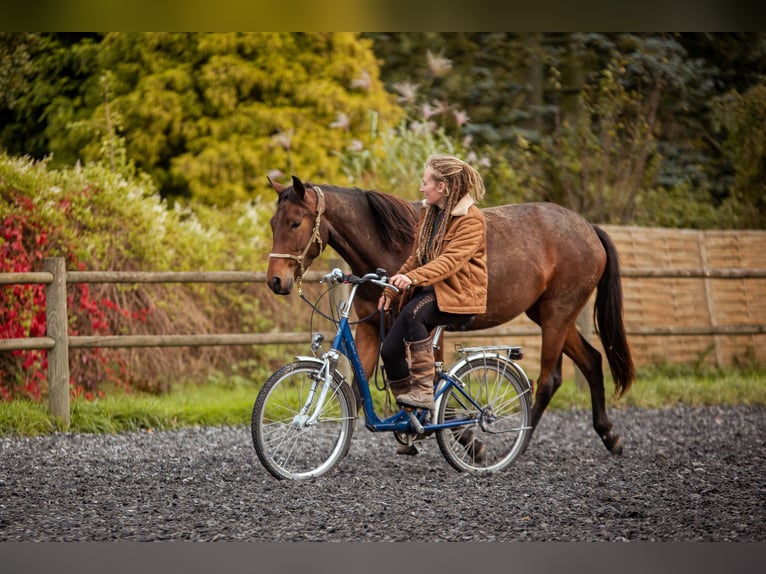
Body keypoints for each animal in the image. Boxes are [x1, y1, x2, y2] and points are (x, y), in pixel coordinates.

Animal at [268, 178, 640, 456]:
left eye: (295, 222)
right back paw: (609, 435)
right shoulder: (372, 329)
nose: (275, 281)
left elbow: (433, 383)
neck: (390, 247)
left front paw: (461, 439)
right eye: (274, 223)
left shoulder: (427, 328)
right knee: (591, 361)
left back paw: (518, 442)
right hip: (552, 316)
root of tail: (588, 229)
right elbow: (358, 389)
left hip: (556, 316)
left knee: (548, 380)